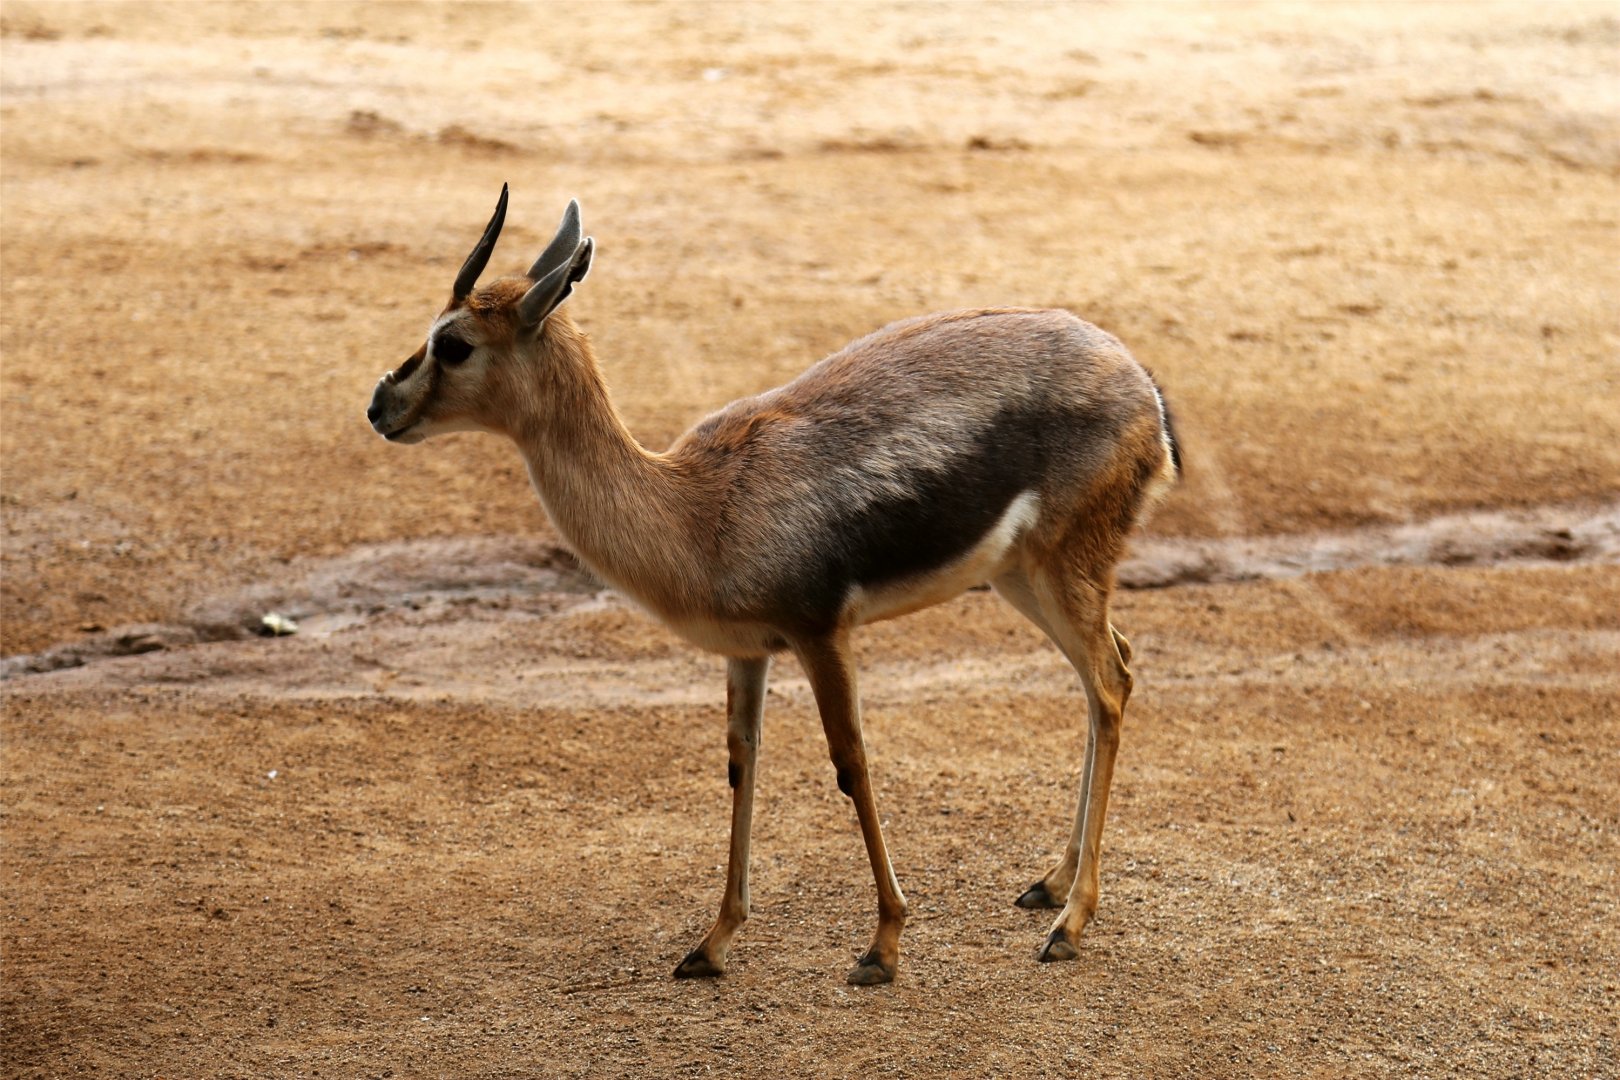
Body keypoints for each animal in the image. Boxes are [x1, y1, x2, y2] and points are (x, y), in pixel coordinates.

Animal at [366, 186, 1181, 985]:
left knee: (1109, 684)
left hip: (1061, 570)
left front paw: (882, 947)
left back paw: (1067, 926)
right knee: (1112, 673)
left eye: (454, 344)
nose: (379, 405)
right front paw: (712, 944)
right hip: (1021, 578)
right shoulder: (747, 651)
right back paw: (1050, 884)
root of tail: (1141, 381)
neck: (697, 508)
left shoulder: (821, 634)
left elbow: (851, 762)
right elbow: (741, 761)